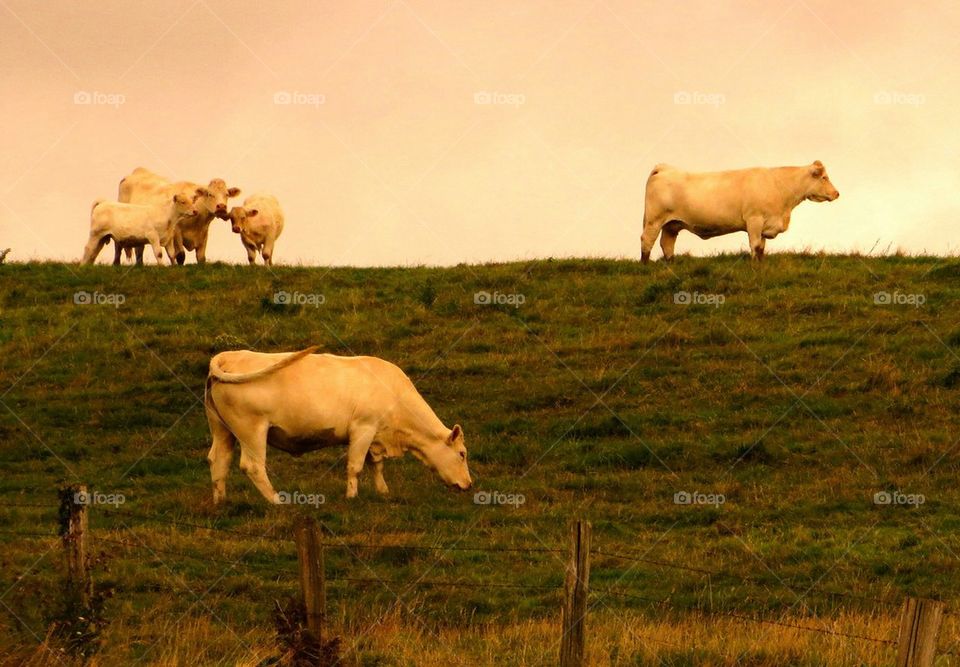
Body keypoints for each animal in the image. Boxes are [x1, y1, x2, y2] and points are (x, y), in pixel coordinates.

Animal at [204, 348, 474, 504]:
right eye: (462, 454)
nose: (469, 485)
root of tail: (229, 356)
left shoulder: (375, 436)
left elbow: (376, 465)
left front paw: (383, 491)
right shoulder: (363, 429)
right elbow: (355, 466)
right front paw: (351, 496)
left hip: (222, 430)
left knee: (219, 460)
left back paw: (220, 502)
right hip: (252, 430)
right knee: (252, 466)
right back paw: (277, 501)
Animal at [644, 162, 840, 264]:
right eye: (824, 178)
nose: (837, 193)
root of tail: (664, 168)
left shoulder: (765, 225)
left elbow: (761, 247)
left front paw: (761, 264)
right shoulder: (754, 219)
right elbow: (755, 245)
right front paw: (754, 266)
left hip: (672, 224)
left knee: (667, 244)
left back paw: (671, 264)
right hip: (654, 220)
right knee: (647, 241)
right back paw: (645, 265)